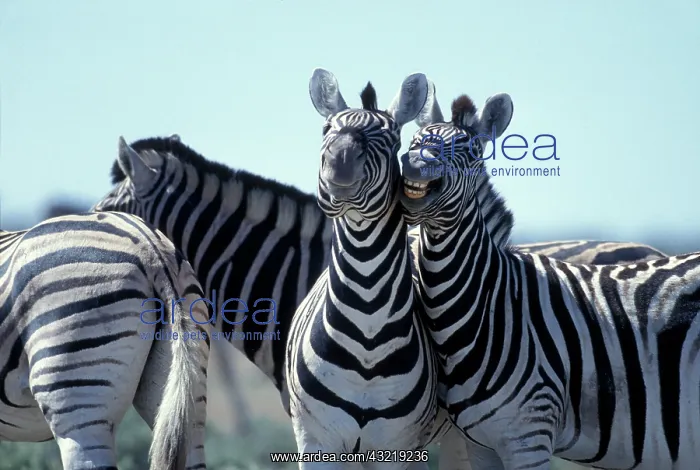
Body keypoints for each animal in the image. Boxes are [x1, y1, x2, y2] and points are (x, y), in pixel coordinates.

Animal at [399, 80, 700, 469]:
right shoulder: (479, 444)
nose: (414, 163)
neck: (487, 304)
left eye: (468, 150)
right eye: (414, 140)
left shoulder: (529, 435)